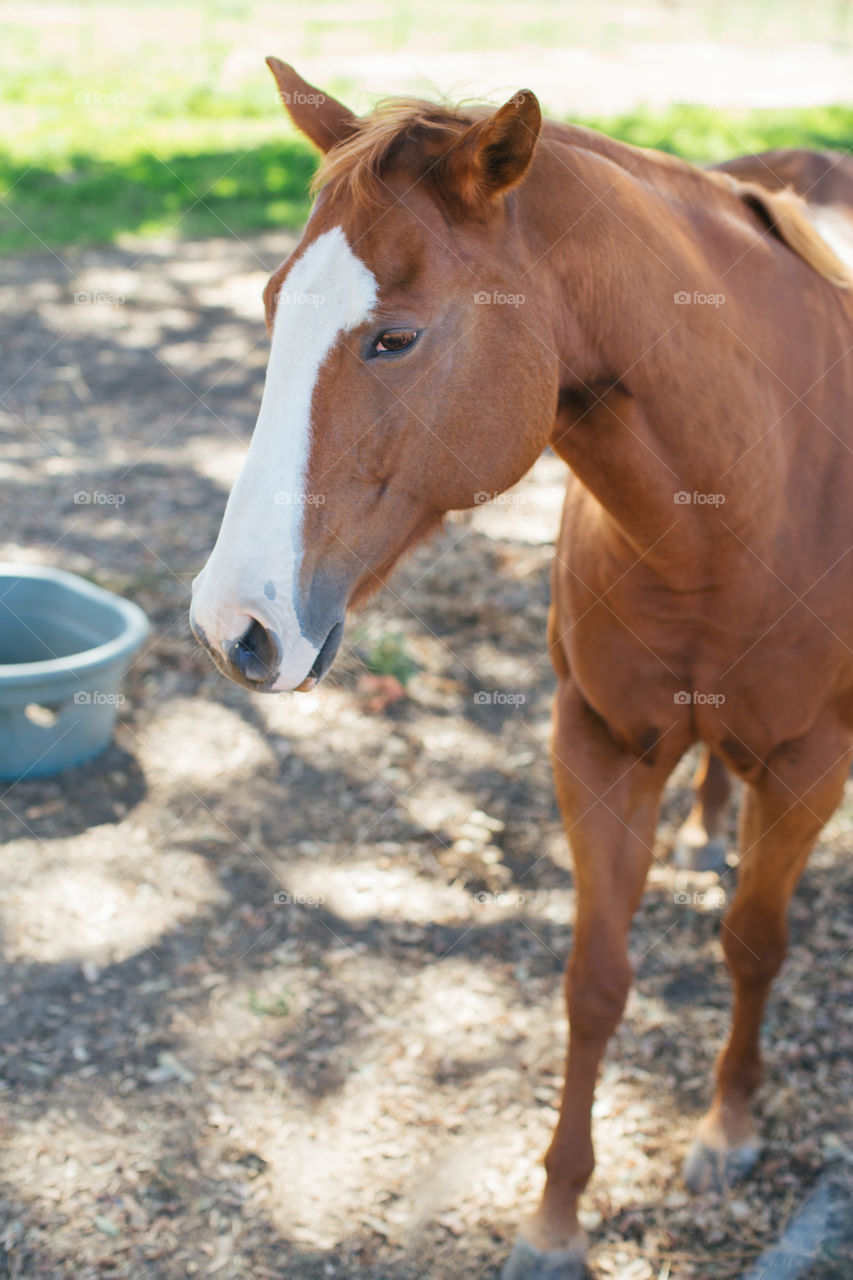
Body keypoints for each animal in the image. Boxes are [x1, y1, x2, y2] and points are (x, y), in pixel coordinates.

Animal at [190, 62, 850, 1280]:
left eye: (395, 339)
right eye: (270, 305)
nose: (231, 625)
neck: (750, 494)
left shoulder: (807, 764)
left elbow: (752, 944)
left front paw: (727, 1126)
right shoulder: (595, 743)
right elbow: (592, 983)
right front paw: (554, 1217)